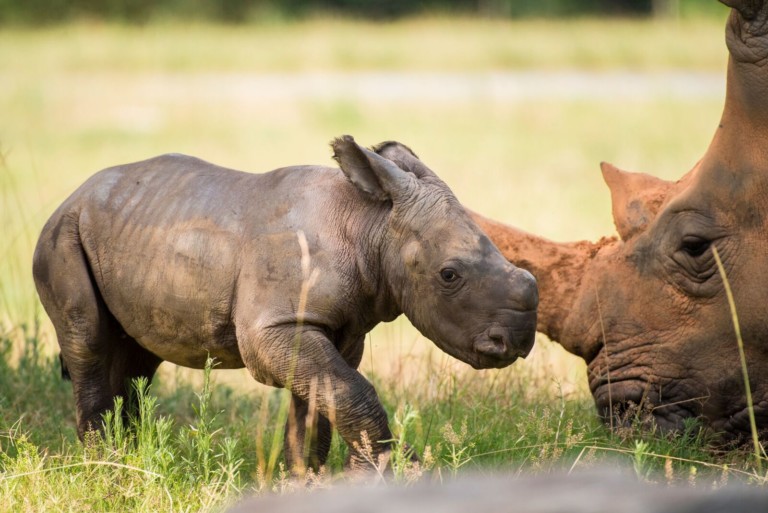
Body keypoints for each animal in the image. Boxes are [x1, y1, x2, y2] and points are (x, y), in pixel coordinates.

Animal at [34, 135, 540, 468]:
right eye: (449, 275)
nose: (515, 343)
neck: (372, 225)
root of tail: (72, 195)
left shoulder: (333, 327)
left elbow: (321, 400)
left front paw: (305, 479)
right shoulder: (275, 327)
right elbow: (349, 391)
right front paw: (392, 470)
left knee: (138, 357)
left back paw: (131, 456)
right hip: (61, 235)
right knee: (88, 341)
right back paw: (107, 464)